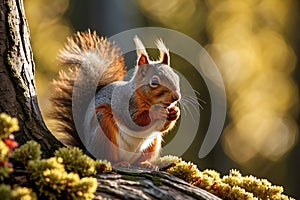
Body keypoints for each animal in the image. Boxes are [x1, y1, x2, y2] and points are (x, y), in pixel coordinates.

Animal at [49, 30, 180, 168]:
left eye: (176, 77)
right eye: (154, 82)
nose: (176, 97)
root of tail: (86, 149)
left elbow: (162, 128)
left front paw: (175, 112)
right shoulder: (126, 104)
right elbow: (135, 122)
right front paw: (156, 112)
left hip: (153, 143)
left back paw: (145, 164)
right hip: (103, 131)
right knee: (107, 157)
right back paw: (118, 162)